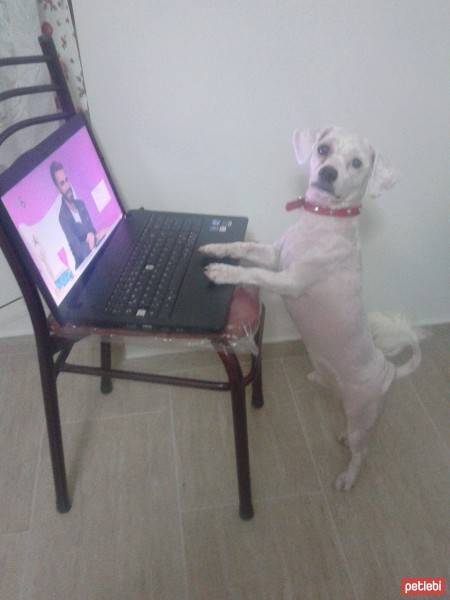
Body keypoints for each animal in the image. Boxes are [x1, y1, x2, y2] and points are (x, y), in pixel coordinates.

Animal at [200, 126, 422, 492]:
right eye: (323, 149)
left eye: (357, 163)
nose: (328, 172)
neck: (322, 222)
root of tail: (389, 371)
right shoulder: (275, 255)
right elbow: (243, 246)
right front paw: (214, 247)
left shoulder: (288, 279)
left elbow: (254, 272)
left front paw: (223, 272)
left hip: (362, 411)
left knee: (362, 451)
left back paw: (348, 477)